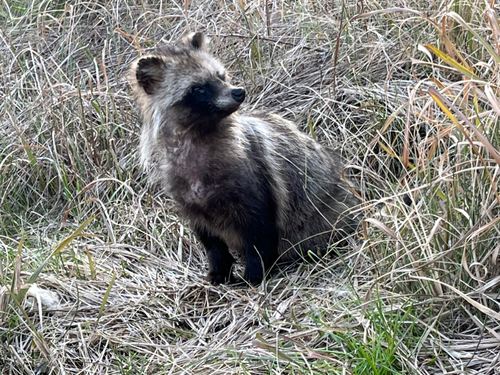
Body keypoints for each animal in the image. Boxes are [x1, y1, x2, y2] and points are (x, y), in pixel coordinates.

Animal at [127, 33, 358, 284]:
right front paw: (219, 270)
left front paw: (255, 275)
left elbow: (259, 232)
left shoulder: (253, 179)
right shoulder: (187, 199)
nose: (238, 92)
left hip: (326, 213)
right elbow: (212, 242)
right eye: (198, 88)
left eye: (220, 76)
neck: (198, 139)